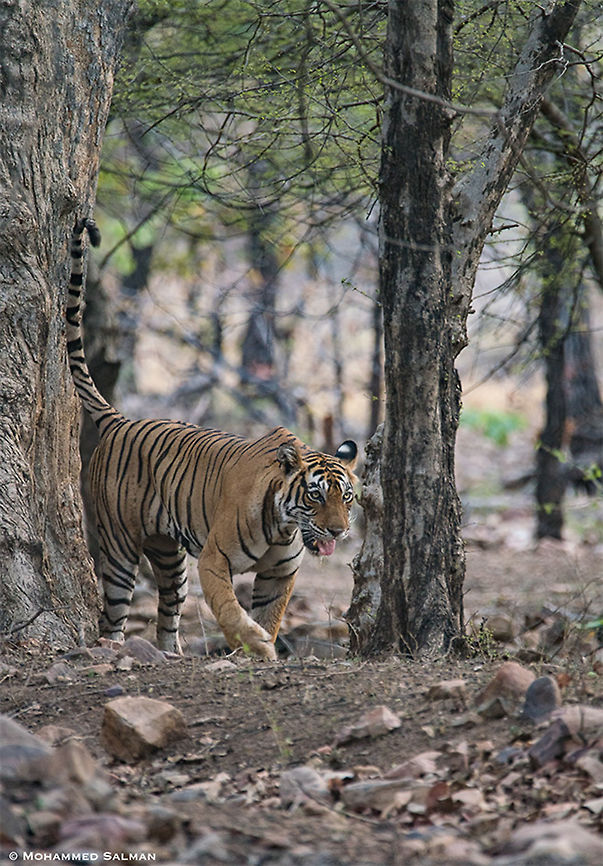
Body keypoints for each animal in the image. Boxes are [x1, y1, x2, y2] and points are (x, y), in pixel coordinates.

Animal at [66, 217, 358, 660]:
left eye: (348, 498)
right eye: (315, 496)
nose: (339, 532)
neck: (285, 524)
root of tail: (121, 421)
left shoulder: (280, 573)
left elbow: (271, 615)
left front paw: (263, 646)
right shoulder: (213, 559)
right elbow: (228, 606)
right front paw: (251, 641)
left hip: (170, 557)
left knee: (168, 612)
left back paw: (171, 653)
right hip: (119, 547)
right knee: (113, 611)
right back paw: (113, 647)